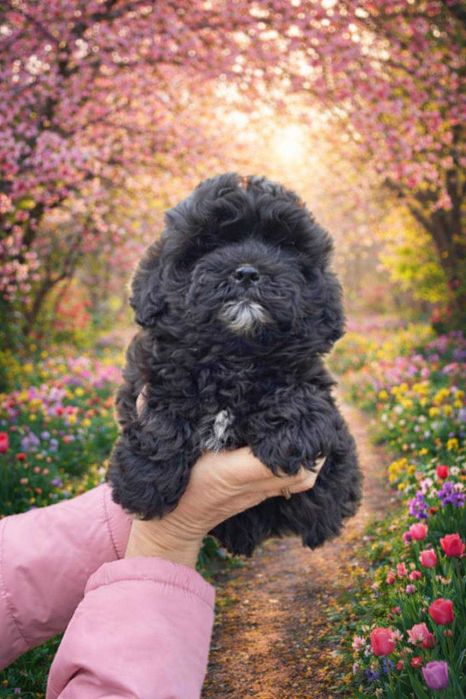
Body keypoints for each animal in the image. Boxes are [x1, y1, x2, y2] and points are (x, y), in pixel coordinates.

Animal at [107, 173, 362, 556]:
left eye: (285, 246)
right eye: (208, 245)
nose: (246, 273)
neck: (234, 357)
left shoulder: (314, 393)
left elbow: (302, 396)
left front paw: (293, 432)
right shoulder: (153, 370)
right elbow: (161, 410)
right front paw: (144, 482)